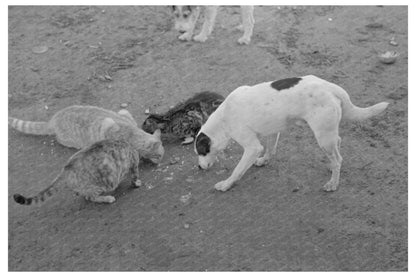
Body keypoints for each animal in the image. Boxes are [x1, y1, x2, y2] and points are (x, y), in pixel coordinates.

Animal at [8, 104, 164, 163]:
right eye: (159, 155)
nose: (160, 161)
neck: (132, 134)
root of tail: (53, 119)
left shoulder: (123, 113)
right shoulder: (107, 128)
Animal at [196, 75, 390, 192]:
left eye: (201, 151)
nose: (198, 167)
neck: (223, 118)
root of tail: (331, 88)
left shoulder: (251, 147)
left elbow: (238, 170)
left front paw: (226, 184)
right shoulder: (273, 131)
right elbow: (270, 149)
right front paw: (264, 161)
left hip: (323, 137)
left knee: (338, 158)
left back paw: (333, 183)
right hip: (327, 134)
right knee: (338, 146)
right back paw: (332, 166)